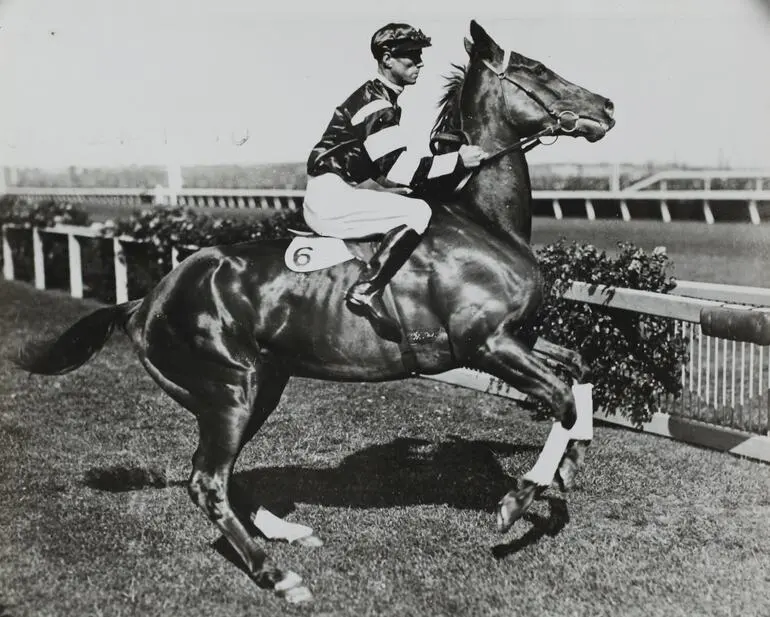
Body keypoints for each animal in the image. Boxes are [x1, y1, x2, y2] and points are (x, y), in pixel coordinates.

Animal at [13, 20, 612, 600]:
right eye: (537, 68)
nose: (607, 106)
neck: (485, 224)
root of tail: (147, 300)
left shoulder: (516, 336)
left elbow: (580, 370)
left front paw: (572, 461)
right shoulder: (484, 343)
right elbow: (560, 396)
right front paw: (520, 498)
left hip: (256, 386)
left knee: (220, 474)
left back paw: (284, 530)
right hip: (231, 388)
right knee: (206, 480)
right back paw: (275, 574)